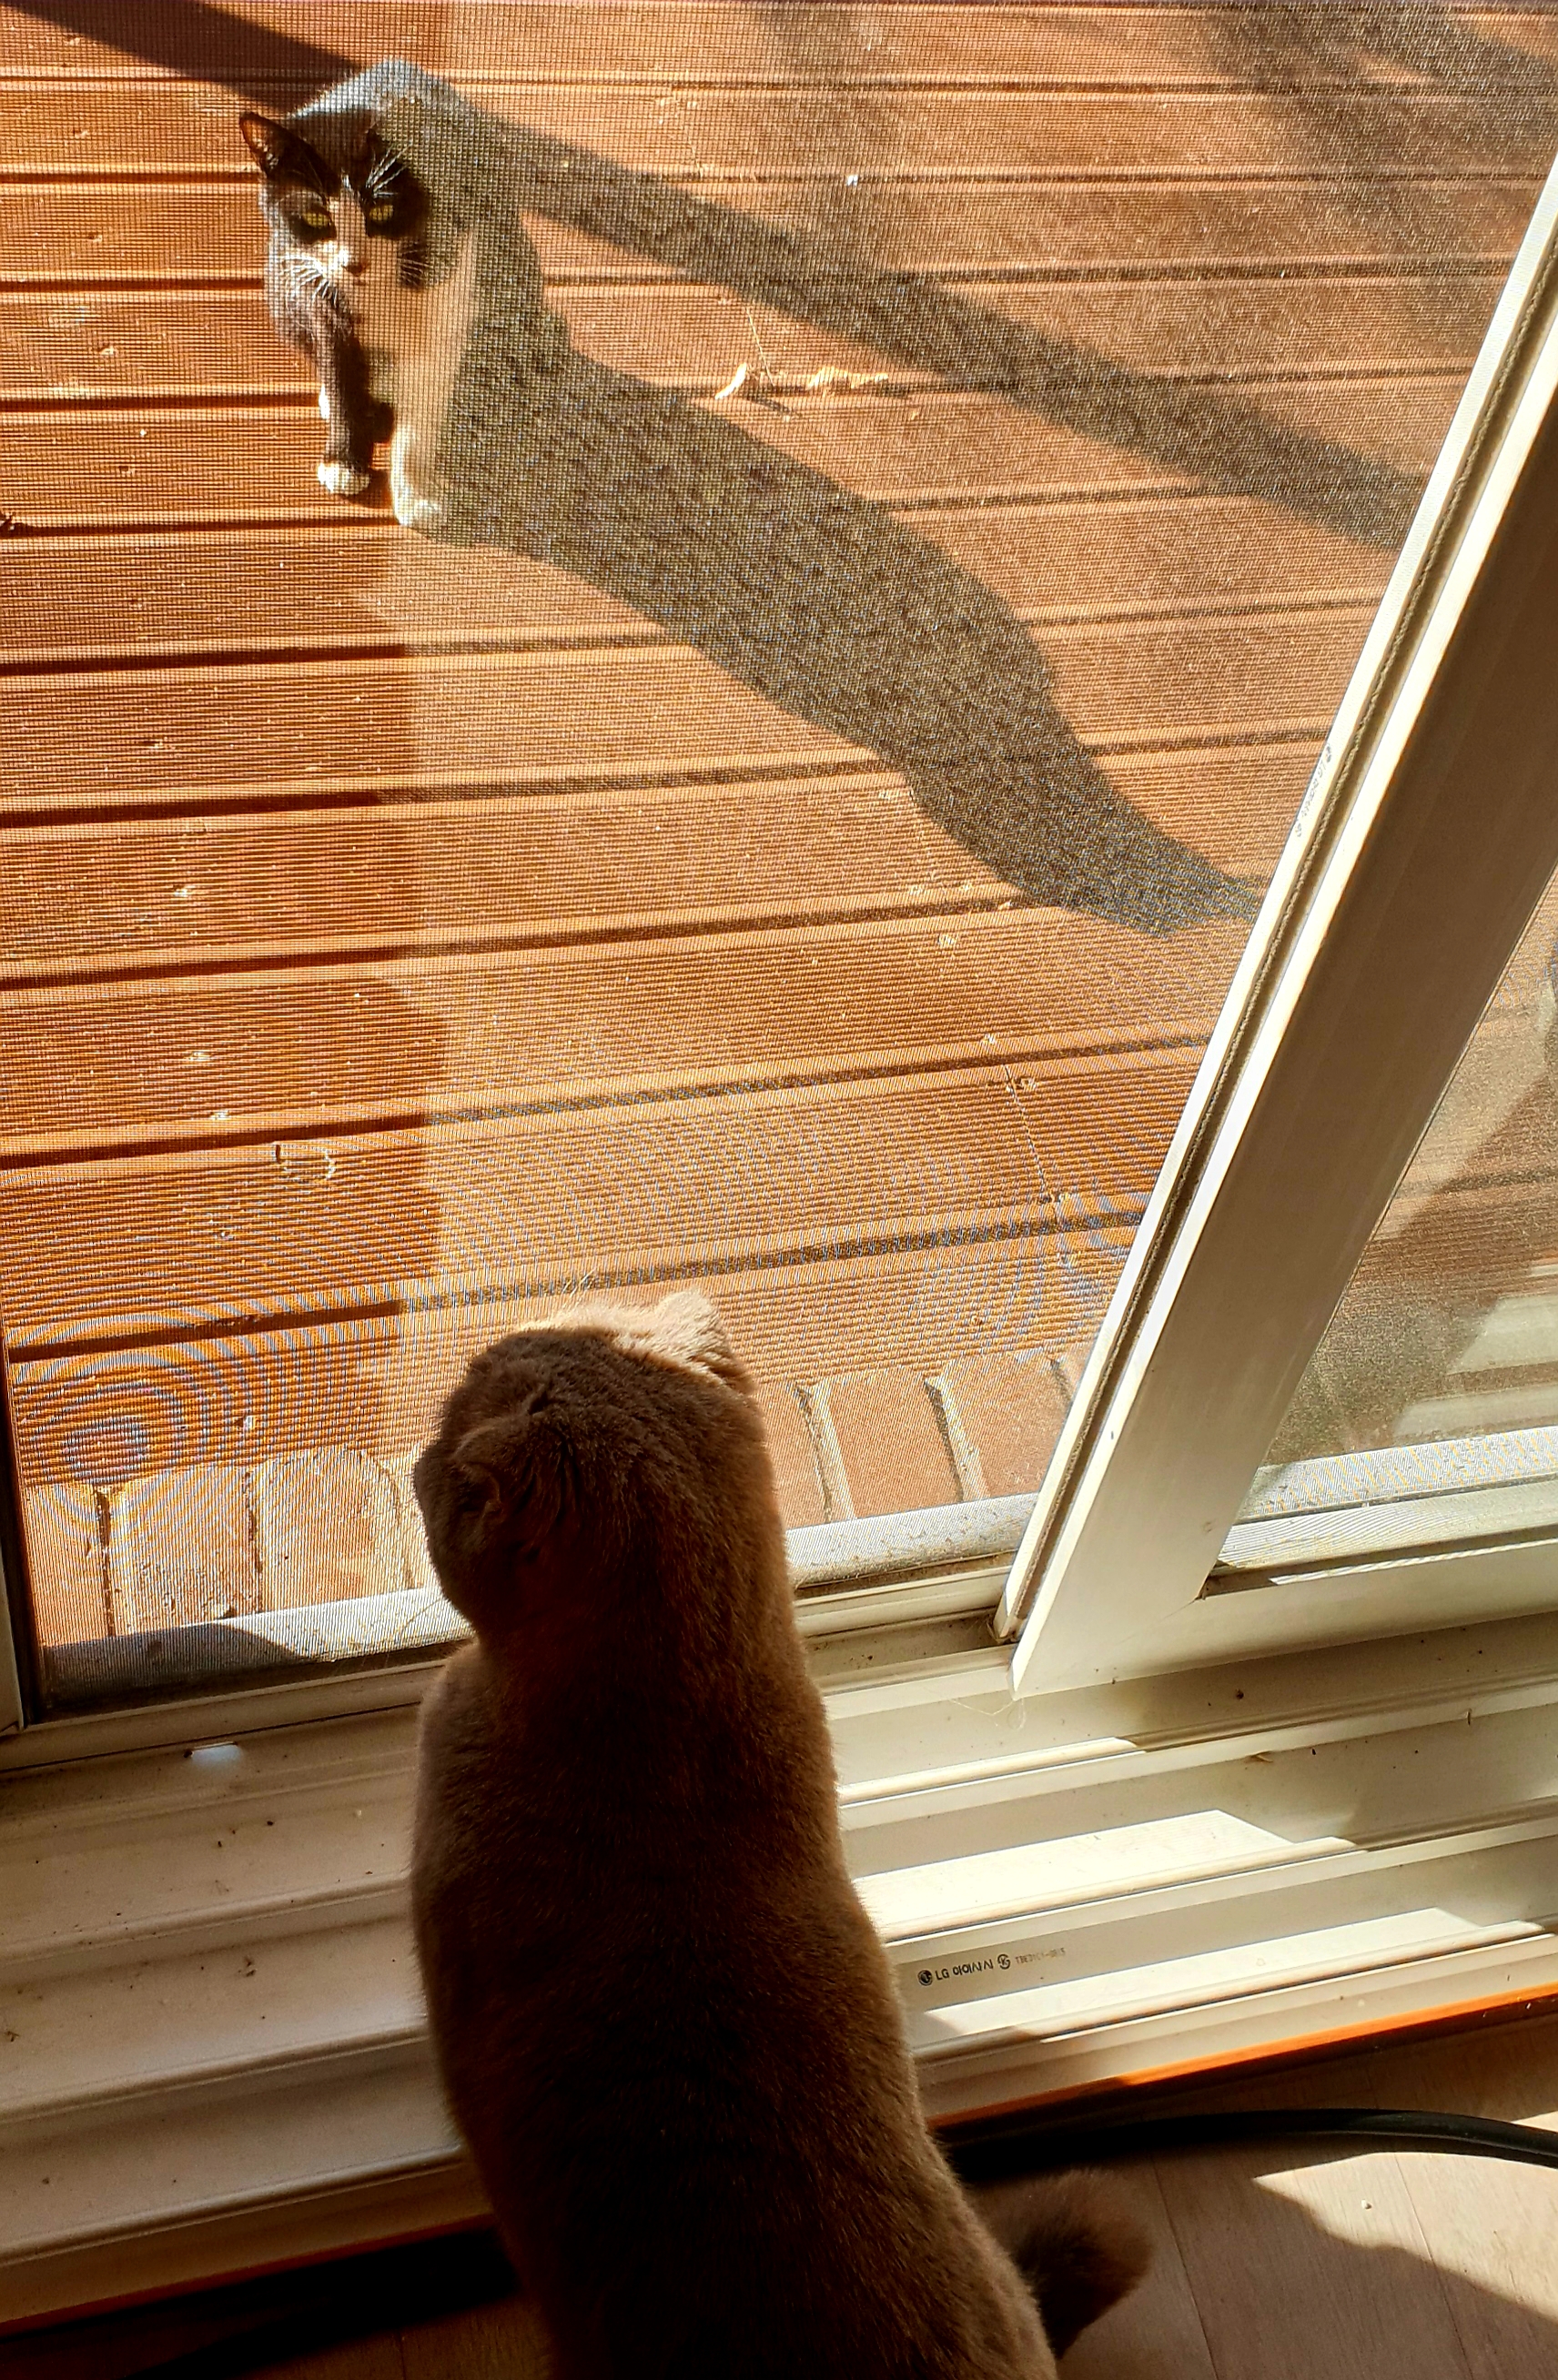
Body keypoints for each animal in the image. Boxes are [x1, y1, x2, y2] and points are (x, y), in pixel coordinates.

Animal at [239, 61, 565, 531]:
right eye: (317, 216)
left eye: (381, 209)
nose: (353, 264)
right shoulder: (318, 296)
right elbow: (340, 376)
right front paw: (344, 461)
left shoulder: (450, 292)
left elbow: (422, 411)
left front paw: (416, 494)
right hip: (281, 284)